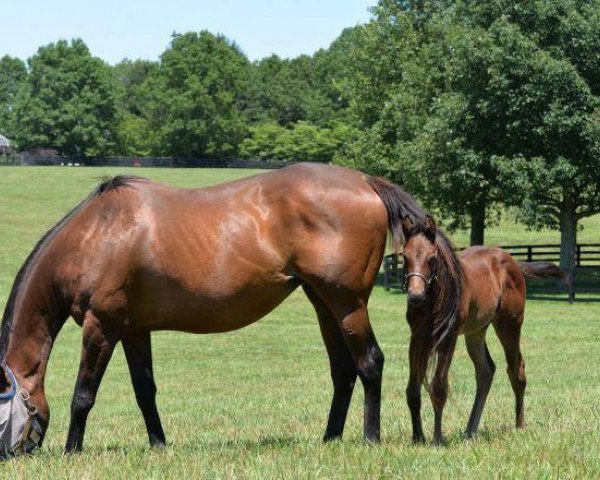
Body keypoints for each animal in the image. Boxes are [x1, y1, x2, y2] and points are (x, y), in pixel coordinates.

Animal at [0, 163, 426, 456]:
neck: (96, 234)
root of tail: (366, 182)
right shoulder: (134, 329)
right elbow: (145, 390)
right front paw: (158, 444)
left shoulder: (101, 326)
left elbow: (83, 393)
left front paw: (72, 451)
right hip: (323, 302)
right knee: (343, 370)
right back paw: (329, 438)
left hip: (347, 303)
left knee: (370, 362)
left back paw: (370, 438)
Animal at [400, 214, 564, 442]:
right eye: (404, 257)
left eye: (432, 258)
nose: (415, 296)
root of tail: (512, 260)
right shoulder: (418, 337)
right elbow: (412, 390)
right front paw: (418, 438)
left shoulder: (449, 337)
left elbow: (438, 387)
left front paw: (437, 439)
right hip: (476, 332)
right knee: (486, 370)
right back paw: (470, 430)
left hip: (509, 325)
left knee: (516, 369)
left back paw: (519, 425)